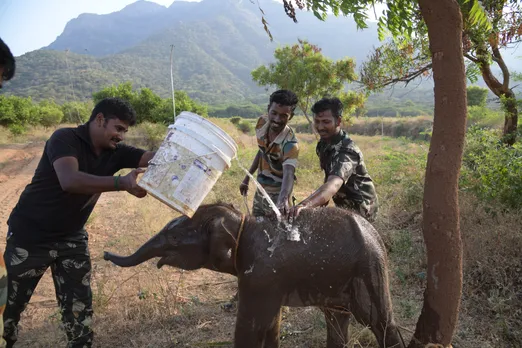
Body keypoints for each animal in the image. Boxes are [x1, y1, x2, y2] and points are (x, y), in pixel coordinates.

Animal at [101, 203, 402, 346]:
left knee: (380, 322)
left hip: (369, 269)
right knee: (337, 319)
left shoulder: (260, 277)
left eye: (174, 238)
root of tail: (375, 233)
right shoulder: (267, 281)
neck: (243, 222)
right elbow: (271, 326)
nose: (104, 254)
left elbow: (251, 328)